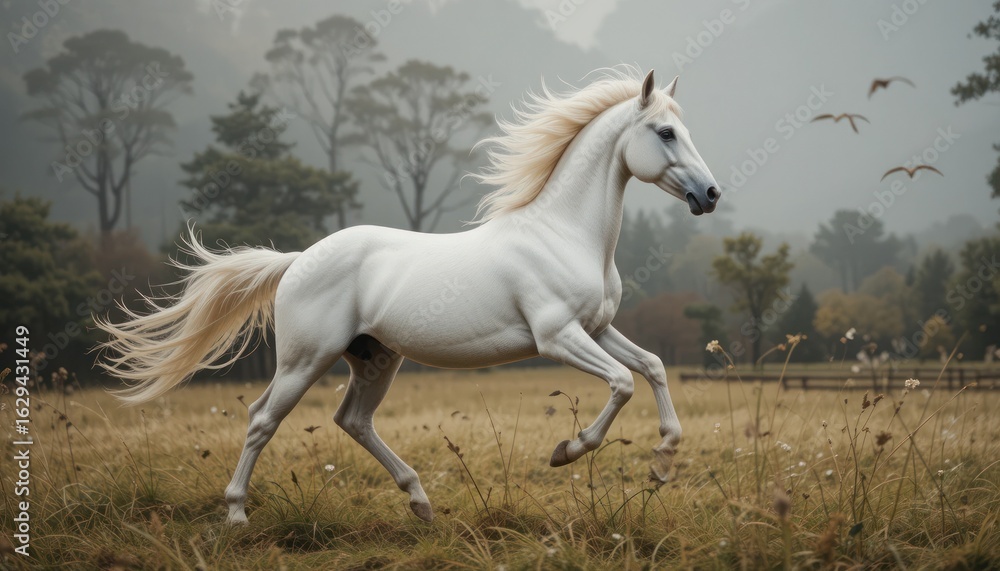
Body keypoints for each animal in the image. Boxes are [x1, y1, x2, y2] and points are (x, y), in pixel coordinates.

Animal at [97, 68, 720, 524]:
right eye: (665, 133)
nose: (710, 194)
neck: (565, 234)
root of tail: (297, 261)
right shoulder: (557, 336)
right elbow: (621, 383)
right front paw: (567, 450)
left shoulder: (597, 328)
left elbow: (653, 367)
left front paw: (663, 463)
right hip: (305, 359)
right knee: (261, 420)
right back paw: (236, 517)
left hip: (374, 358)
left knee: (352, 421)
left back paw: (420, 502)